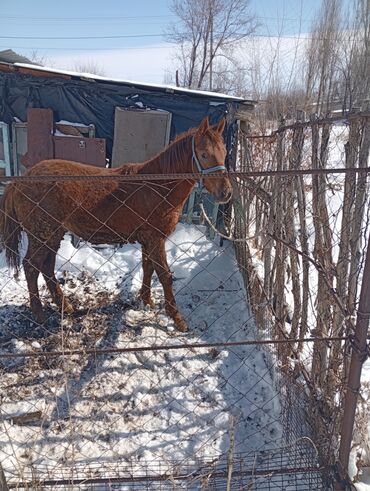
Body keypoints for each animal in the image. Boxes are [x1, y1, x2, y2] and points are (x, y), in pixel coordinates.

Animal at [0, 117, 231, 332]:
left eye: (224, 153)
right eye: (204, 154)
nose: (225, 193)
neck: (157, 186)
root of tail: (20, 180)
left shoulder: (149, 240)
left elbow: (148, 267)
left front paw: (146, 301)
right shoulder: (156, 239)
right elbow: (165, 276)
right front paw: (177, 318)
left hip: (53, 235)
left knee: (46, 267)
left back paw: (65, 306)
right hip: (42, 235)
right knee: (31, 267)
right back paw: (39, 314)